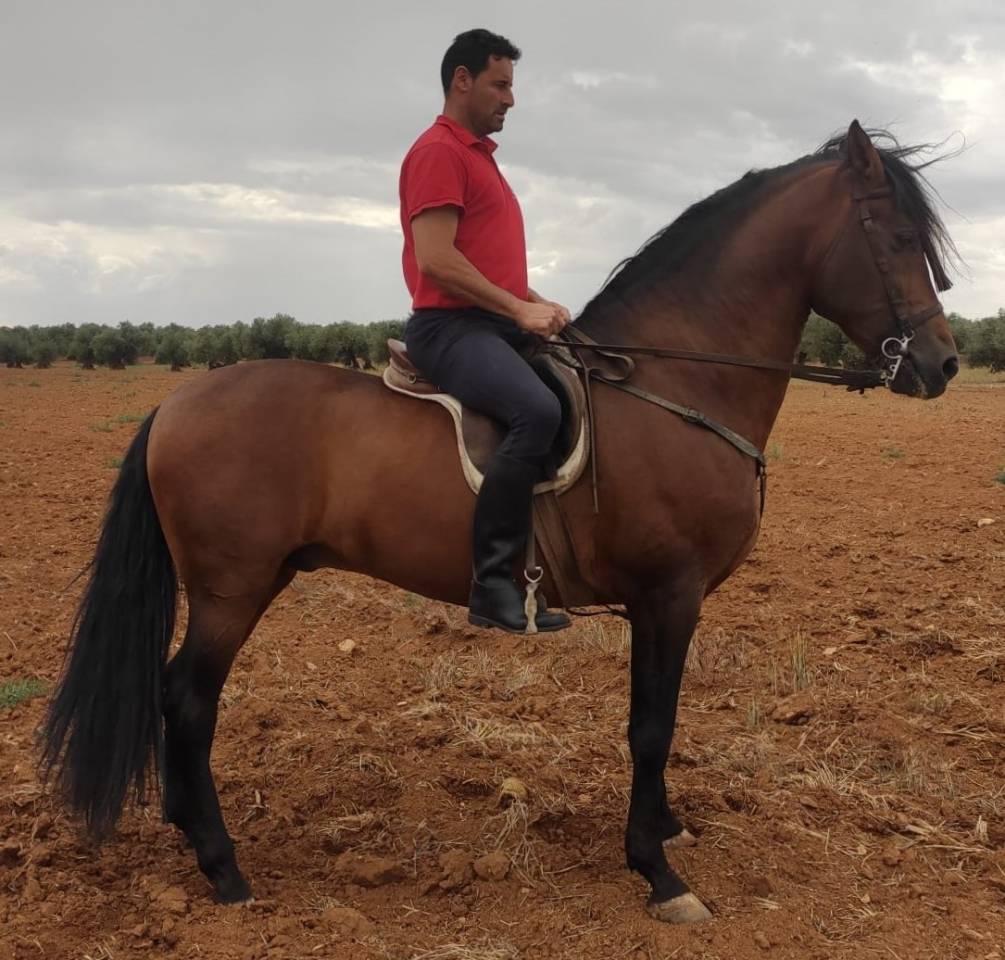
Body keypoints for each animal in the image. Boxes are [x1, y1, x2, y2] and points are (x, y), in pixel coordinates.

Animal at [42, 121, 958, 924]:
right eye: (898, 235)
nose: (941, 364)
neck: (675, 384)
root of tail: (176, 401)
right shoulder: (669, 593)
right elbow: (650, 726)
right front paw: (657, 873)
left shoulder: (662, 603)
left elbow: (655, 722)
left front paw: (663, 830)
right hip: (232, 590)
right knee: (189, 699)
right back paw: (222, 866)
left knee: (178, 697)